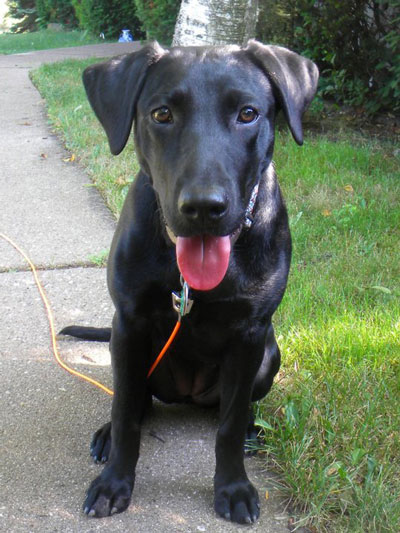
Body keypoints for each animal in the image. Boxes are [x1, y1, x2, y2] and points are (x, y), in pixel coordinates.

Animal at [62, 40, 318, 524]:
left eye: (248, 113)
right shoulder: (128, 324)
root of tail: (188, 396)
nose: (203, 207)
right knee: (135, 400)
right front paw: (114, 482)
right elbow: (126, 412)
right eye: (162, 114)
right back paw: (107, 434)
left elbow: (229, 425)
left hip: (269, 355)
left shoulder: (250, 335)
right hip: (128, 350)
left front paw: (233, 486)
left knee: (234, 408)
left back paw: (253, 430)